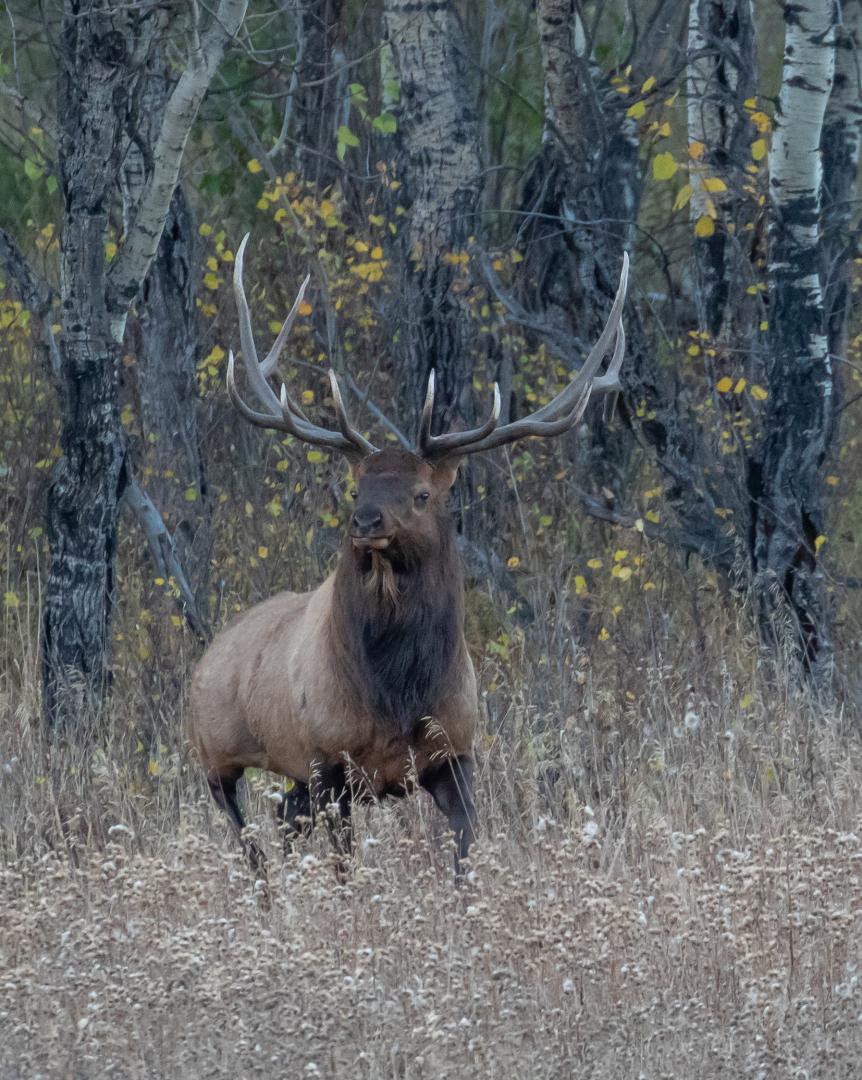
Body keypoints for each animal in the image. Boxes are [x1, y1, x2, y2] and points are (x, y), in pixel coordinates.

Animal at [189, 234, 628, 879]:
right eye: (356, 488)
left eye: (422, 494)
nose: (365, 522)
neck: (398, 694)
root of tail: (210, 654)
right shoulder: (329, 760)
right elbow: (344, 866)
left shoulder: (457, 753)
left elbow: (465, 855)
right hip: (215, 751)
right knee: (247, 833)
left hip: (288, 775)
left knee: (282, 818)